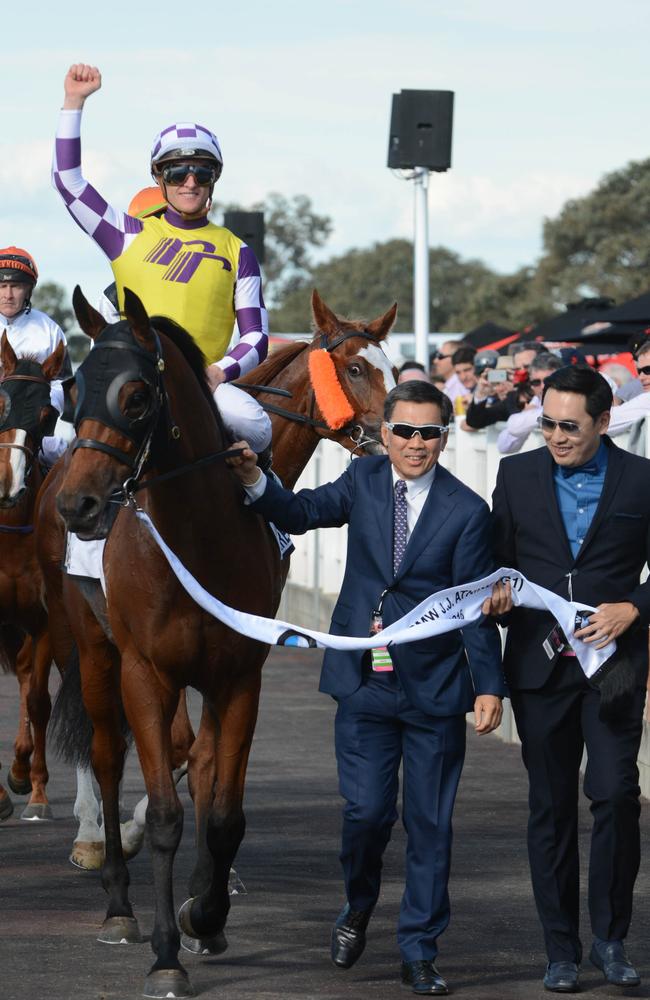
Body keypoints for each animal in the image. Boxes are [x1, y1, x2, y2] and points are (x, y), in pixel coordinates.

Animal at [48, 286, 392, 996]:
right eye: (73, 391)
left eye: (136, 395)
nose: (79, 506)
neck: (194, 535)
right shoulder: (147, 672)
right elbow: (164, 810)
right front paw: (165, 954)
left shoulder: (238, 674)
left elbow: (221, 801)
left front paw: (205, 913)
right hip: (95, 655)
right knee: (104, 754)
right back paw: (116, 900)